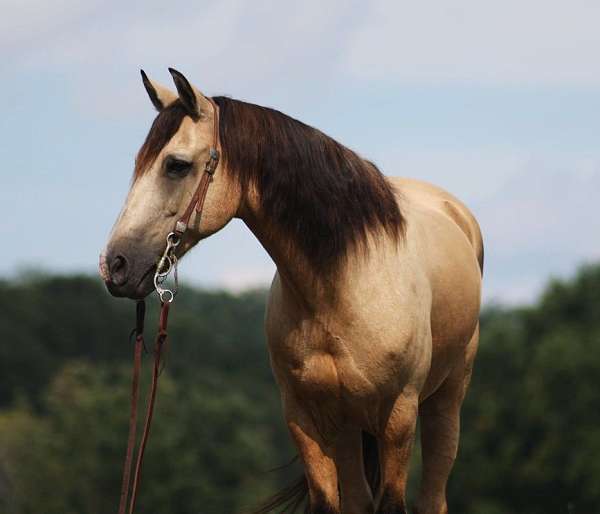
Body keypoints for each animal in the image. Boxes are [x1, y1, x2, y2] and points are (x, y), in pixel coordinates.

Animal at [99, 69, 482, 512]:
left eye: (176, 165)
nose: (115, 265)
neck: (341, 288)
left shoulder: (397, 417)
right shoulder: (304, 417)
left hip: (444, 405)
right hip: (347, 427)